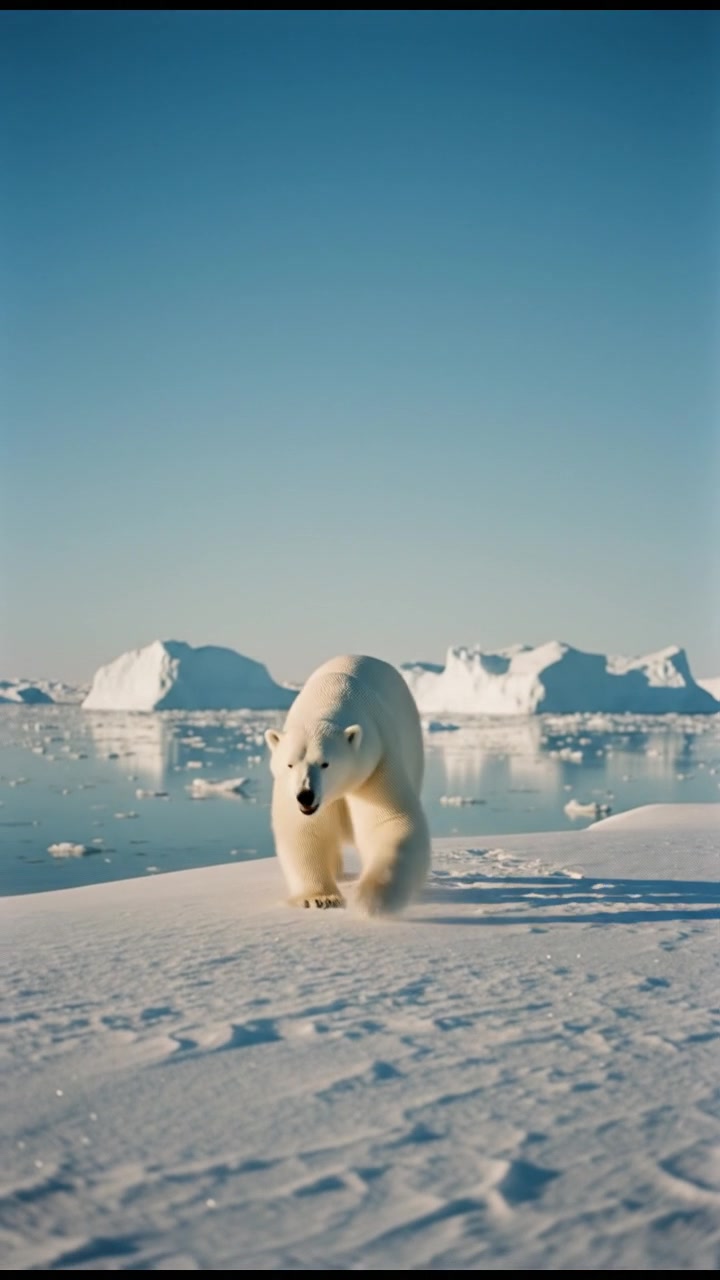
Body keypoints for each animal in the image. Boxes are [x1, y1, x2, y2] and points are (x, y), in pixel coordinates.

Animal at [265, 654, 431, 915]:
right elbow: (304, 829)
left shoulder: (377, 760)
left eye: (325, 763)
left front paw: (372, 898)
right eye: (290, 764)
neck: (331, 694)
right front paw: (320, 898)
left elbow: (389, 820)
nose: (305, 796)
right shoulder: (287, 789)